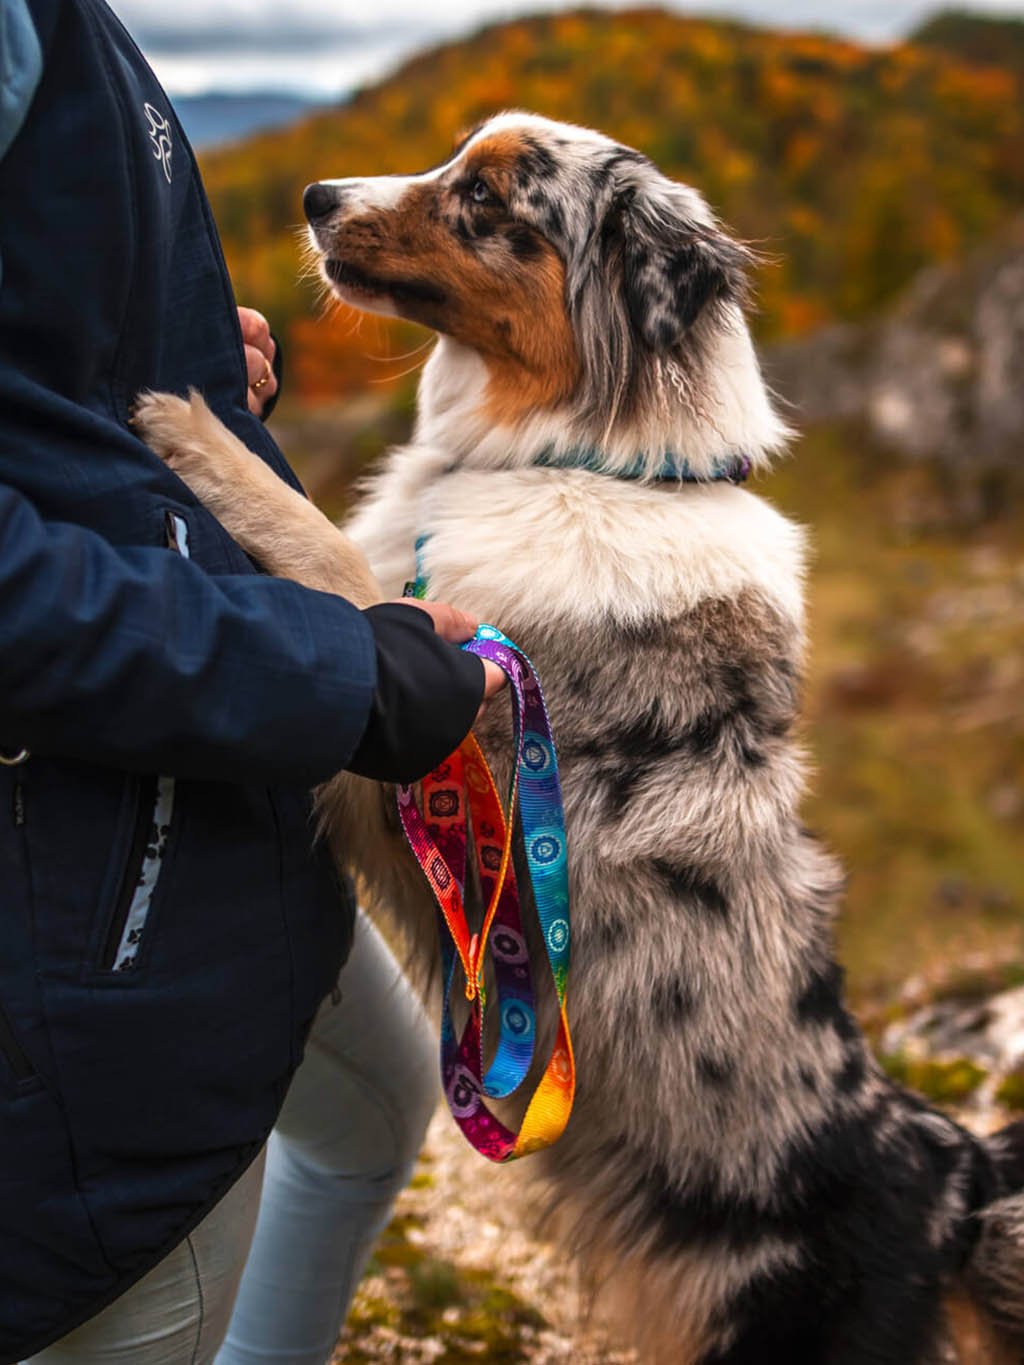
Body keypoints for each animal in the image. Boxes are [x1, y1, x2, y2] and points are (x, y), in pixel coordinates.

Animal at [134, 111, 1024, 1359]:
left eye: (487, 198)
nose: (315, 197)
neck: (581, 460)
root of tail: (953, 1179)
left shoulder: (423, 723)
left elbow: (315, 548)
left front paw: (193, 430)